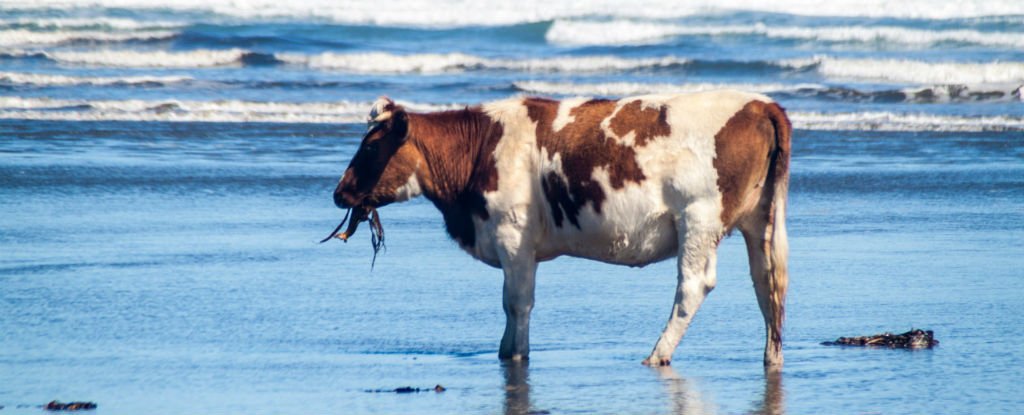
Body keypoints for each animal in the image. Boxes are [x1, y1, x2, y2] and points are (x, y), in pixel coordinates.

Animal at [329, 89, 790, 364]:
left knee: (694, 286)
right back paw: (772, 357)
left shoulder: (514, 238)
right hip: (758, 220)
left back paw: (657, 354)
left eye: (370, 148)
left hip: (698, 218)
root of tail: (760, 103)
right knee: (767, 283)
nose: (340, 192)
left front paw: (513, 354)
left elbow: (516, 303)